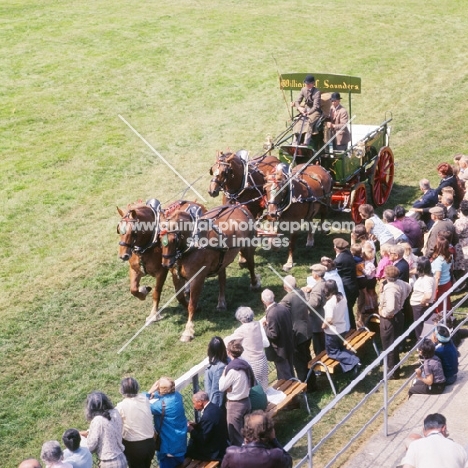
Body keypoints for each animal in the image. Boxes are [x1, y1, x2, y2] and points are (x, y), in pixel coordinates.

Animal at [159, 204, 262, 340]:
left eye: (174, 239)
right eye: (160, 239)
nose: (166, 264)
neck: (192, 246)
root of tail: (238, 206)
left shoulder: (197, 278)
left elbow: (192, 303)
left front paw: (188, 330)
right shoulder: (176, 276)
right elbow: (180, 297)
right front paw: (197, 308)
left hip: (247, 247)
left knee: (251, 266)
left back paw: (255, 284)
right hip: (222, 258)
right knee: (222, 278)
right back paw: (221, 302)